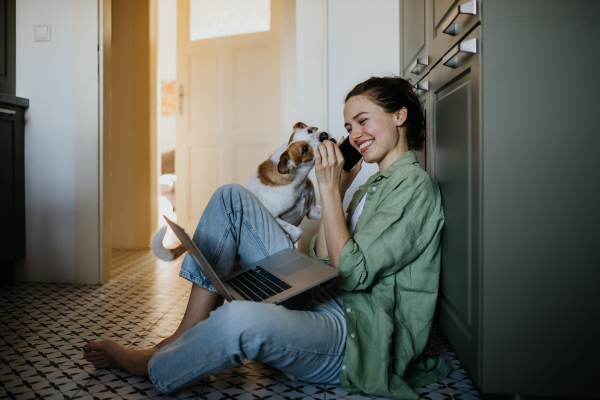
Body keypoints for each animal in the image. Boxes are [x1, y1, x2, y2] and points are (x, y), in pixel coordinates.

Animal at [150, 120, 336, 260]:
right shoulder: (274, 216)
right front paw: (292, 244)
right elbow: (297, 231)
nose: (324, 135)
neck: (298, 181)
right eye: (304, 149)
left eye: (311, 130)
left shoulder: (312, 210)